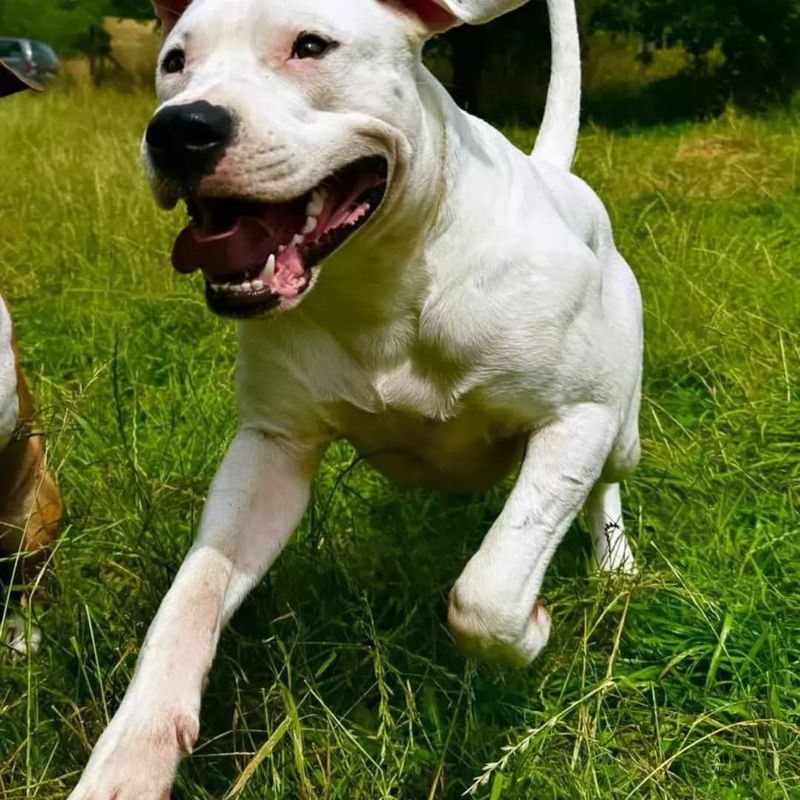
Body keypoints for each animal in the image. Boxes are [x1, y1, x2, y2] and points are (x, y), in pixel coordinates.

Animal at [70, 0, 644, 792]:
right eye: (175, 61)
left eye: (311, 45)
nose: (180, 129)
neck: (383, 278)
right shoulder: (271, 450)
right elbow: (193, 595)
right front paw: (132, 754)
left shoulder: (576, 419)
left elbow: (488, 592)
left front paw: (531, 631)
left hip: (621, 427)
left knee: (604, 484)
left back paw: (615, 563)